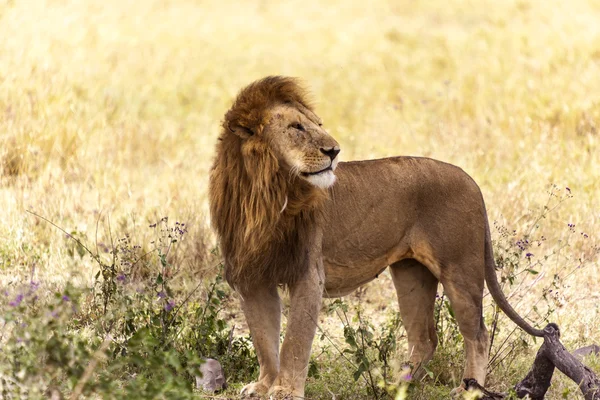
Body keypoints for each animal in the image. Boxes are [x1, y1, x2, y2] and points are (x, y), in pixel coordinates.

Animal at [207, 76, 544, 398]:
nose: (334, 151)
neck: (264, 194)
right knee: (425, 337)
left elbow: (294, 341)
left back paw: (468, 390)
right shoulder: (252, 277)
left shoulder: (307, 274)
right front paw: (263, 386)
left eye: (318, 125)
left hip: (460, 269)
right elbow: (263, 339)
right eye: (296, 127)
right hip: (411, 274)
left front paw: (285, 391)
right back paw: (396, 387)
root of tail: (471, 179)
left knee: (478, 334)